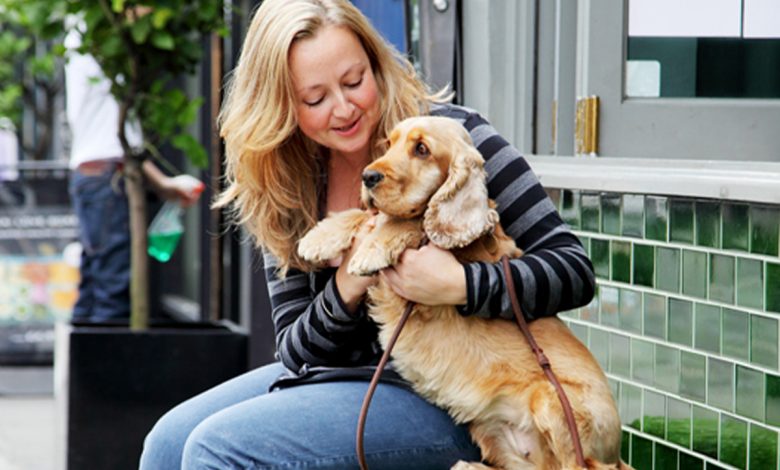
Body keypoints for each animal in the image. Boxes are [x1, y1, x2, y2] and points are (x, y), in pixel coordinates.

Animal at [296, 115, 624, 468]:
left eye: (422, 149)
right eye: (389, 144)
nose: (368, 177)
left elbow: (407, 222)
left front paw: (371, 250)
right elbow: (366, 215)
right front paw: (318, 238)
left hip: (553, 404)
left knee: (579, 464)